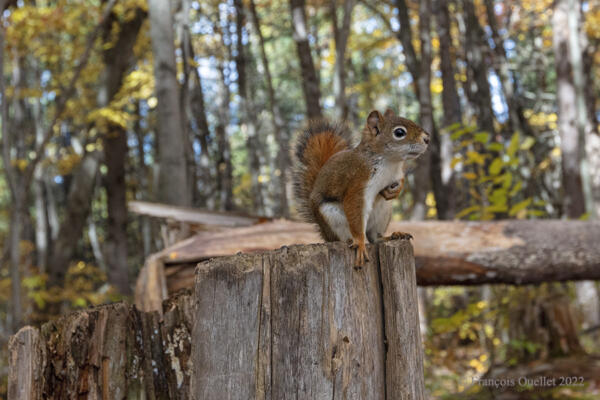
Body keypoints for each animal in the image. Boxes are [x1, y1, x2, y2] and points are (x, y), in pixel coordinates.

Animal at [292, 108, 428, 268]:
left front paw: (396, 190)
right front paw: (361, 244)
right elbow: (354, 205)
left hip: (383, 212)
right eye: (399, 132)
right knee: (347, 236)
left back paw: (392, 236)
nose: (427, 139)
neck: (390, 162)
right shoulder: (358, 181)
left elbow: (400, 180)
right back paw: (352, 241)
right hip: (331, 215)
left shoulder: (396, 174)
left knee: (374, 238)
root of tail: (325, 234)